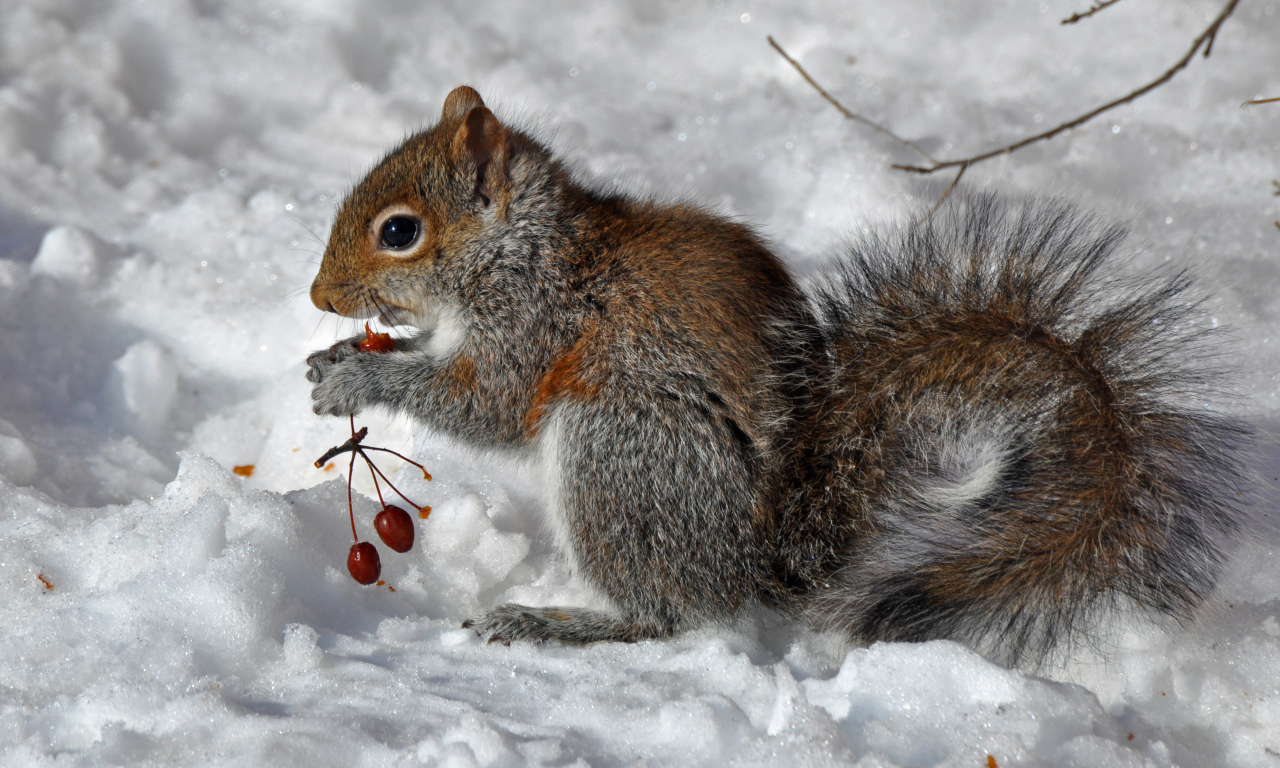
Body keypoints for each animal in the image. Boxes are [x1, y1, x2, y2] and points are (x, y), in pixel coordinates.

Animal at [307, 85, 1249, 665]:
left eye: (400, 231)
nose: (319, 297)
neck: (521, 249)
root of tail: (761, 558)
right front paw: (334, 360)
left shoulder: (536, 326)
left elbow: (487, 405)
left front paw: (358, 382)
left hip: (620, 448)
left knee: (667, 615)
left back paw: (553, 621)